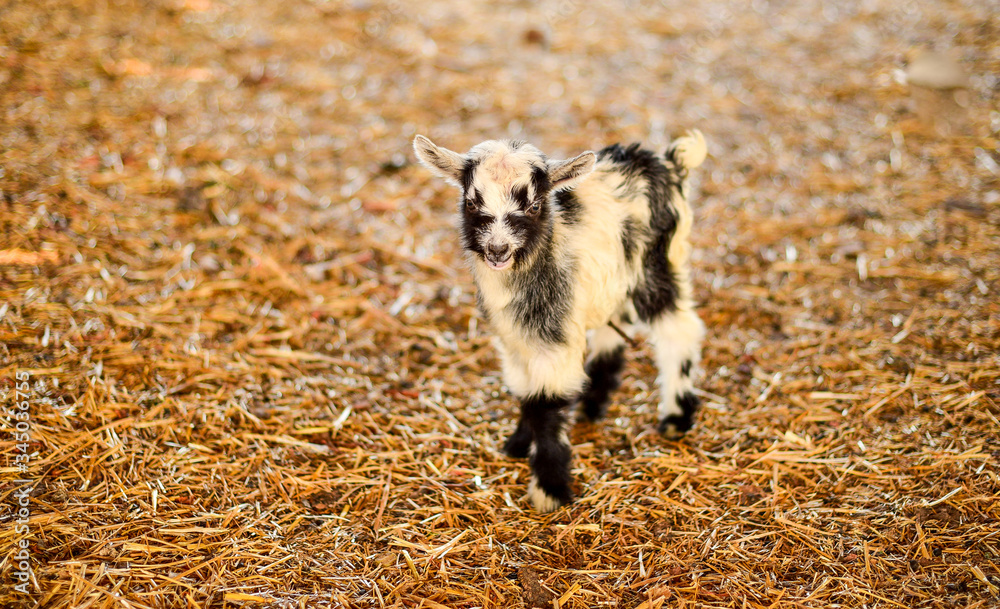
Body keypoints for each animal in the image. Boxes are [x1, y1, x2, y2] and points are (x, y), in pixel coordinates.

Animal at [413, 131, 707, 512]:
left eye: (534, 206)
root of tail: (668, 162)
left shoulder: (554, 336)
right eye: (471, 203)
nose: (497, 250)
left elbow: (546, 401)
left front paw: (549, 490)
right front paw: (518, 443)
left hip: (658, 266)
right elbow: (526, 392)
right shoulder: (514, 338)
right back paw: (592, 402)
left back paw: (675, 416)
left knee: (680, 331)